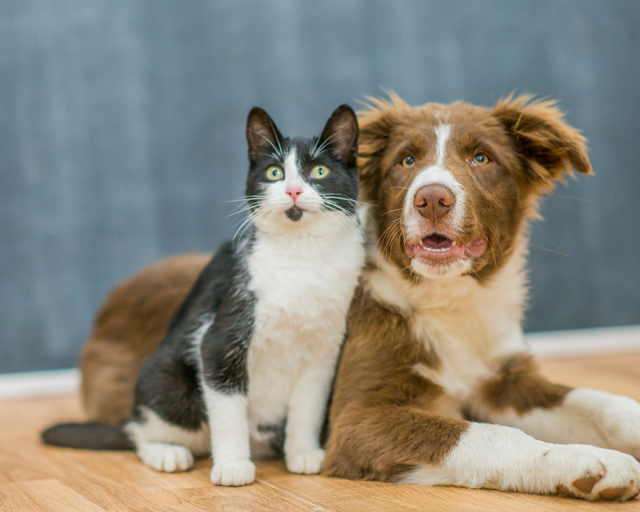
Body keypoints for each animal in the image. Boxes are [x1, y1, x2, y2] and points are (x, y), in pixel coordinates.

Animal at [42, 104, 364, 488]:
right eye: (275, 172)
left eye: (319, 171)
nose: (293, 191)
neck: (302, 256)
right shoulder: (220, 339)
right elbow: (227, 410)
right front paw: (233, 465)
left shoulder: (323, 353)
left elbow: (308, 407)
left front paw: (303, 453)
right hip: (170, 385)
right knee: (141, 433)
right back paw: (166, 452)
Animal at [322, 94, 640, 502]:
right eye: (406, 160)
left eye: (481, 158)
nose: (432, 199)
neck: (451, 299)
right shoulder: (357, 418)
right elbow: (490, 436)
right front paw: (587, 461)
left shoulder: (504, 380)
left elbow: (598, 401)